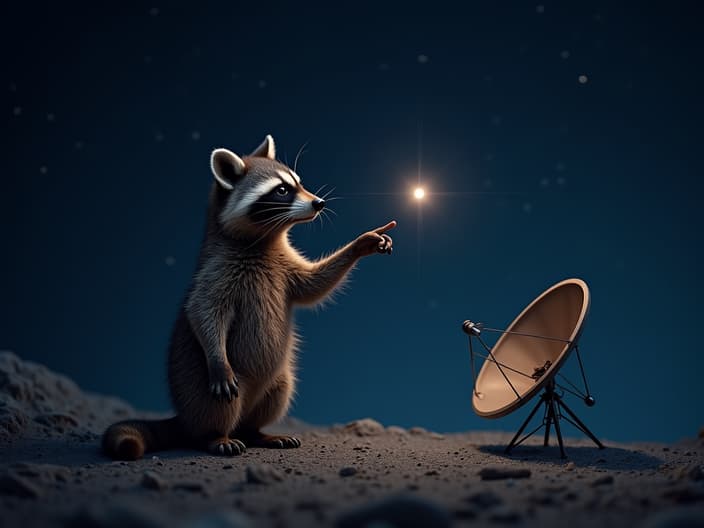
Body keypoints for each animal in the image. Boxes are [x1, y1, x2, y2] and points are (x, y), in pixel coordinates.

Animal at [103, 135, 396, 458]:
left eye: (298, 183)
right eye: (282, 190)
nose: (319, 203)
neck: (266, 238)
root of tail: (185, 418)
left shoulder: (285, 269)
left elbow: (314, 285)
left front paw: (362, 244)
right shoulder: (217, 270)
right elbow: (203, 310)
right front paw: (217, 356)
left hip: (277, 378)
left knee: (277, 394)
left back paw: (257, 432)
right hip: (203, 387)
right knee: (218, 407)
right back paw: (216, 436)